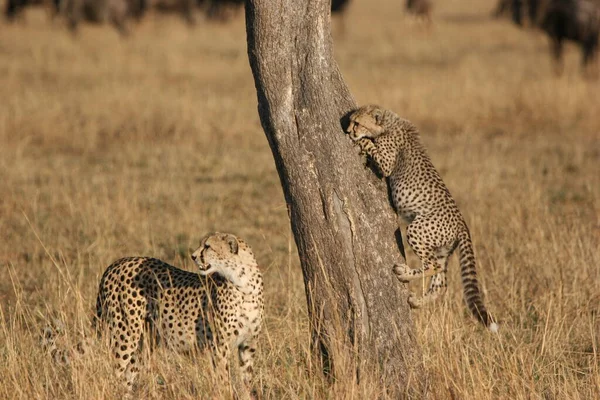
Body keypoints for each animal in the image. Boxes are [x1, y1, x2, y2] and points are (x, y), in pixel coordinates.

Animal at [95, 233, 264, 396]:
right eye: (202, 244)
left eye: (207, 246)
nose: (193, 256)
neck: (244, 283)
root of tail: (118, 262)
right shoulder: (220, 346)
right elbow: (223, 378)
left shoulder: (248, 345)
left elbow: (246, 381)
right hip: (126, 335)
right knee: (115, 371)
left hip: (144, 341)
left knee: (128, 376)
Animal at [344, 104, 500, 332]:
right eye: (351, 121)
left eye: (356, 123)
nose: (348, 131)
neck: (390, 122)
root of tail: (462, 224)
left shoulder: (387, 162)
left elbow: (374, 149)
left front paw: (362, 142)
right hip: (441, 248)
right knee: (441, 282)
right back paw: (418, 301)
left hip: (418, 229)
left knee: (433, 265)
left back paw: (404, 273)